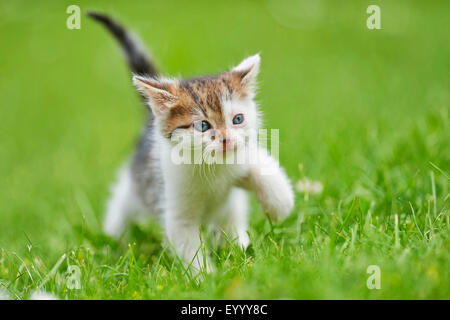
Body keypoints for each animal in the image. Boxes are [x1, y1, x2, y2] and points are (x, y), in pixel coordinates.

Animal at [89, 12, 294, 272]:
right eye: (203, 126)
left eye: (238, 119)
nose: (226, 139)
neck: (213, 169)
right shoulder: (175, 208)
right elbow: (188, 245)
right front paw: (206, 276)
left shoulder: (242, 157)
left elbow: (261, 167)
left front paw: (279, 205)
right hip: (133, 187)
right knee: (120, 206)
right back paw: (112, 241)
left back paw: (239, 245)